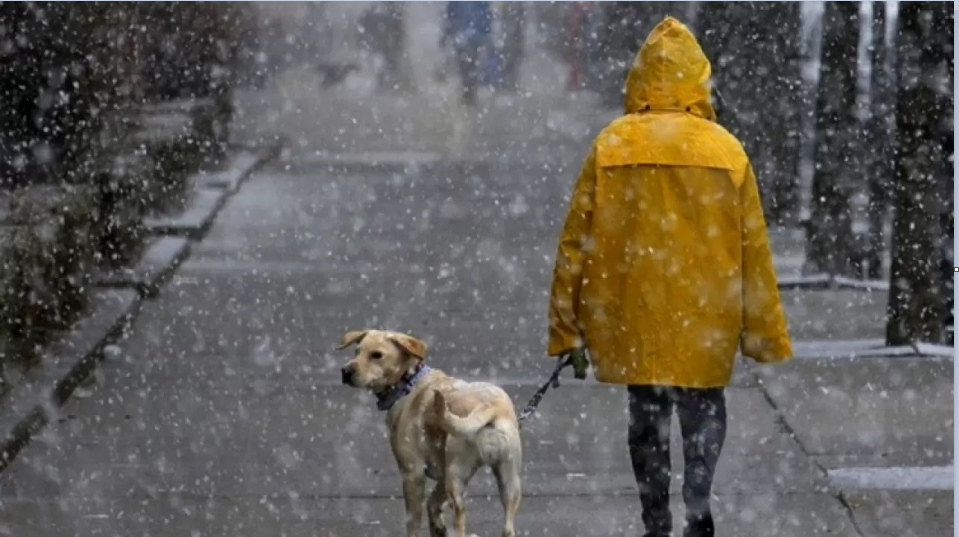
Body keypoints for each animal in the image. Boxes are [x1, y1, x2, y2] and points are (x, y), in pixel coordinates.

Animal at [340, 326, 524, 536]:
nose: (345, 371)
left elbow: (413, 521)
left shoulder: (412, 473)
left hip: (456, 477)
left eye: (377, 355)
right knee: (508, 528)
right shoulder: (441, 475)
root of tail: (490, 406)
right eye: (356, 352)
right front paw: (437, 526)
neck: (409, 382)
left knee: (460, 520)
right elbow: (433, 503)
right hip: (509, 482)